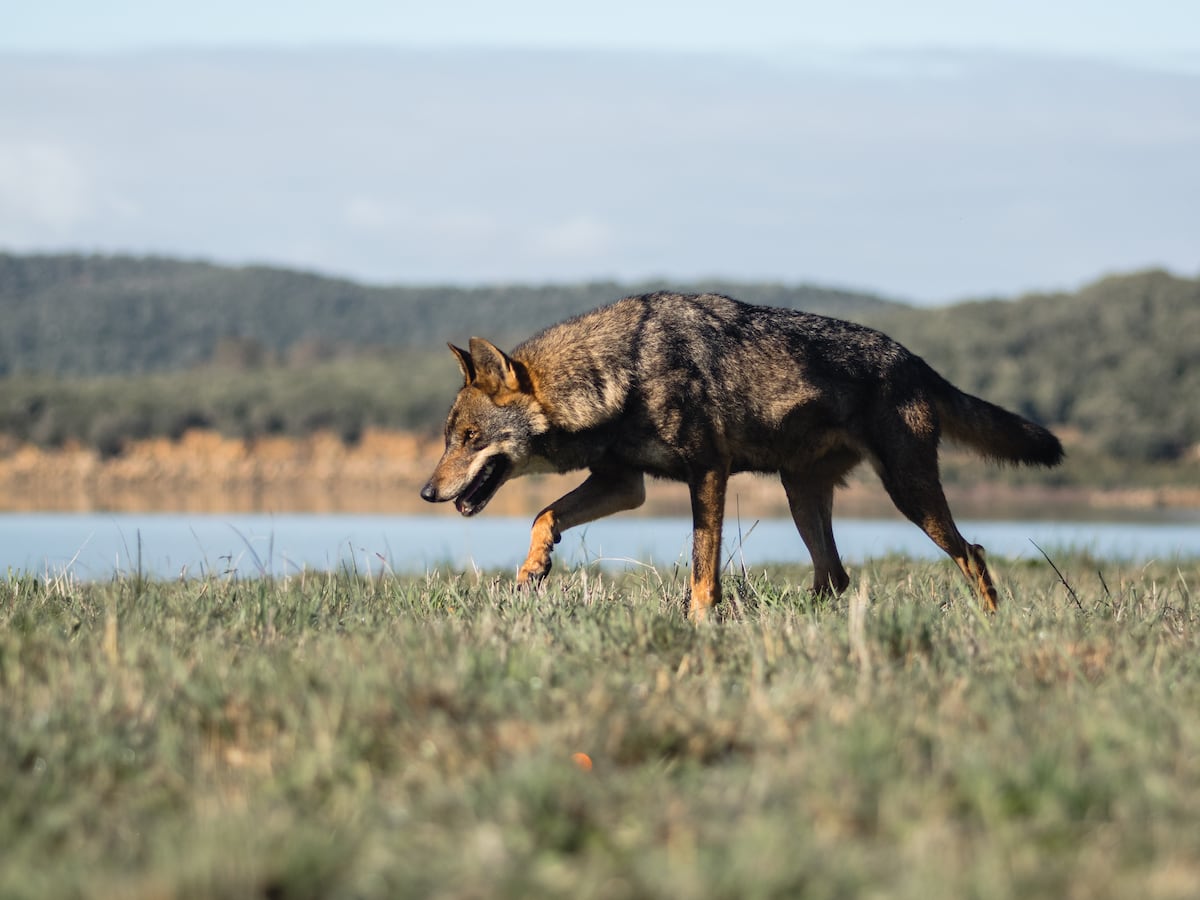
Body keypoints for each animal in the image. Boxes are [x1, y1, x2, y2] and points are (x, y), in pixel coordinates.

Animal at [420, 292, 1063, 620]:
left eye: (470, 438)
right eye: (450, 437)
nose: (426, 492)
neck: (620, 371)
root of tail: (915, 361)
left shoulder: (706, 473)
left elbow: (703, 572)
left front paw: (701, 626)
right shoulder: (626, 484)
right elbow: (544, 514)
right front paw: (535, 566)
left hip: (910, 495)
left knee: (972, 554)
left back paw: (993, 627)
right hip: (802, 497)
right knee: (835, 577)